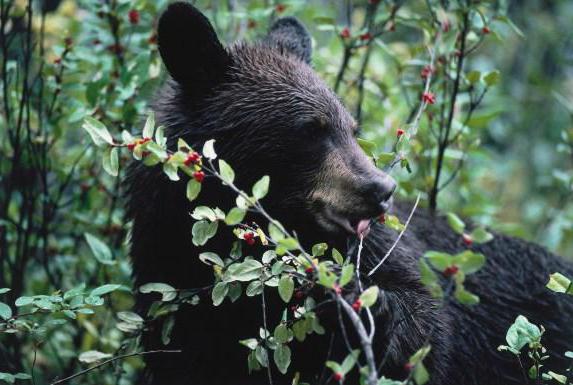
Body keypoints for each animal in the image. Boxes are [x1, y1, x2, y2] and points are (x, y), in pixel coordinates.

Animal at [128, 3, 572, 384]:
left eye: (351, 128)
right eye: (311, 129)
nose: (381, 189)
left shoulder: (378, 248)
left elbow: (427, 331)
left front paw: (358, 303)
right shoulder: (172, 290)